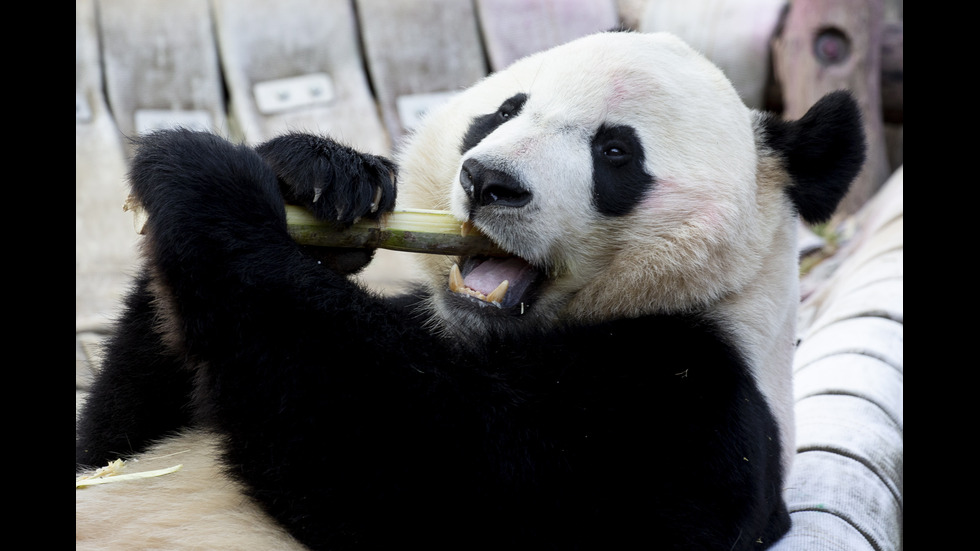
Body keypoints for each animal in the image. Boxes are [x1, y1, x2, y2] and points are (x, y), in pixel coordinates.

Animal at [76, 32, 864, 548]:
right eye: (505, 111)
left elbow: (446, 475)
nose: (489, 181)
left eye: (615, 151)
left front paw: (203, 180)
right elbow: (108, 447)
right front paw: (315, 175)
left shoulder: (691, 411)